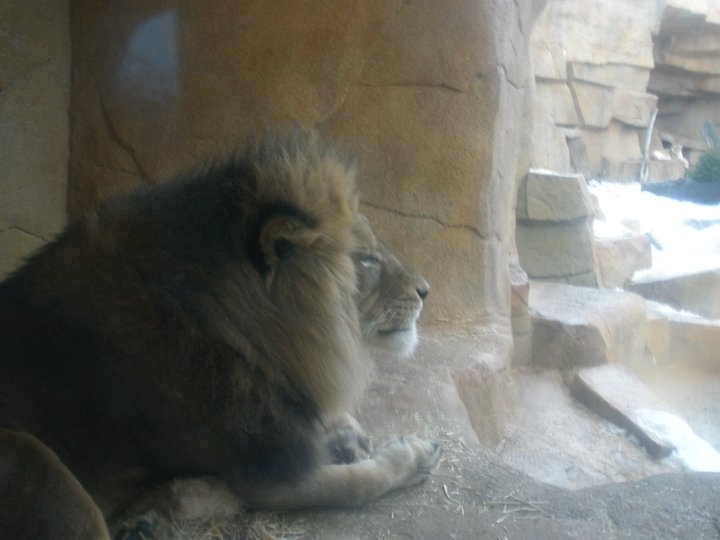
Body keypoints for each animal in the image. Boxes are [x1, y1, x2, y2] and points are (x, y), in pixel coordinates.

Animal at [0, 131, 440, 539]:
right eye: (365, 259)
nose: (425, 290)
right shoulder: (267, 477)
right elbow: (359, 483)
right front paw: (414, 455)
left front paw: (348, 433)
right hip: (40, 463)